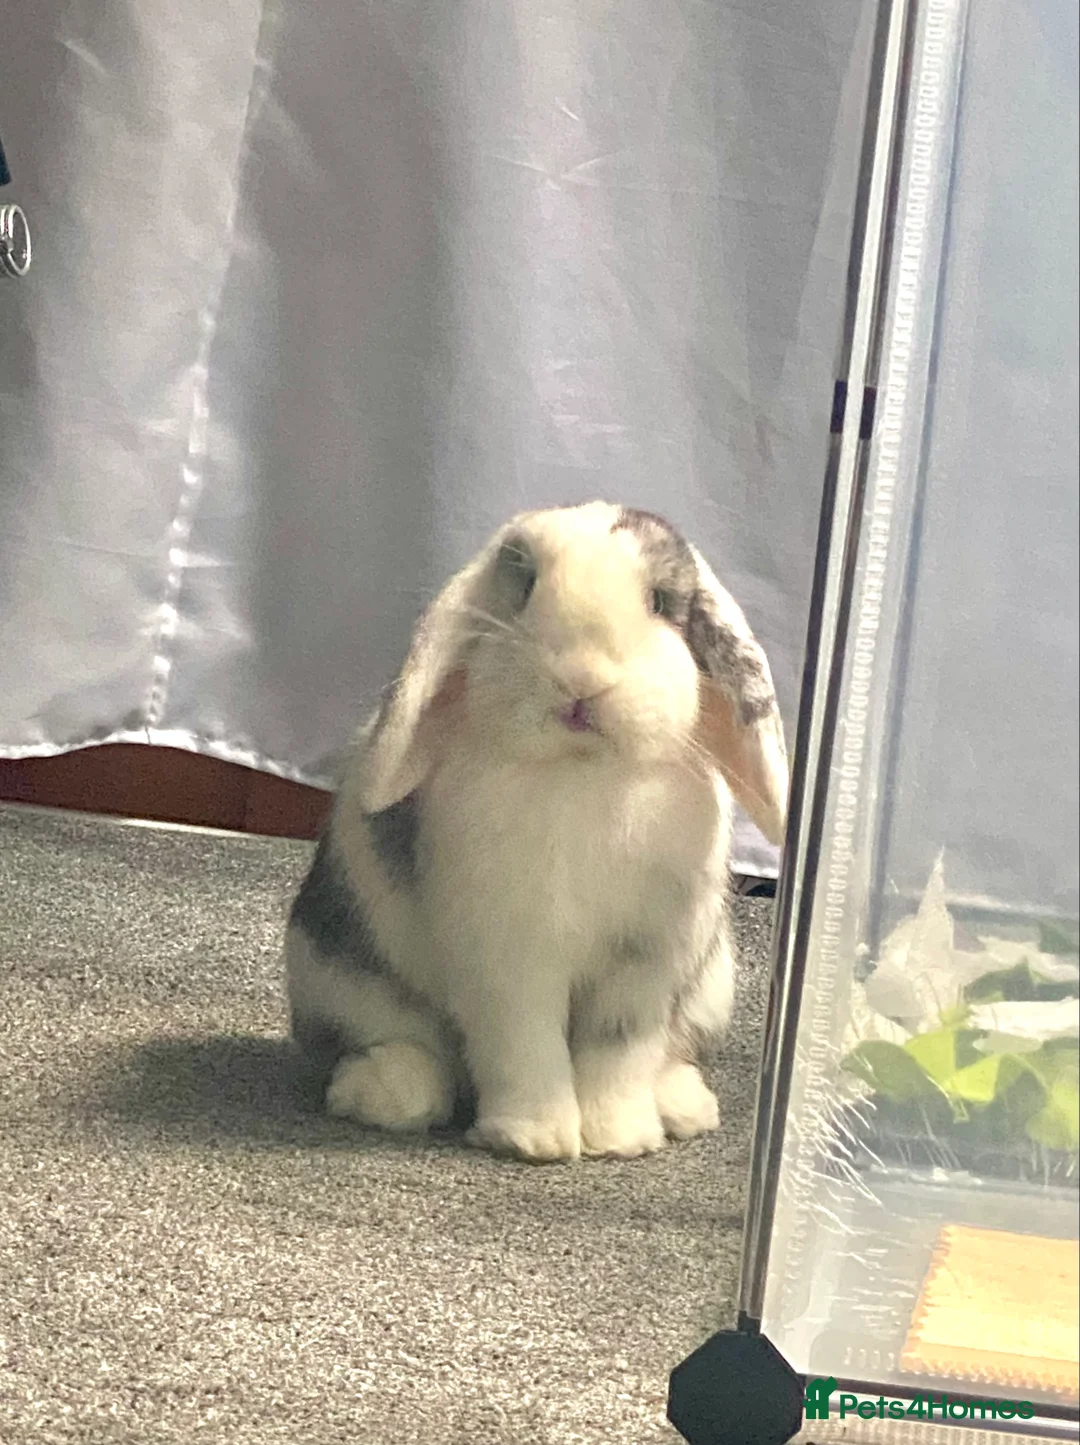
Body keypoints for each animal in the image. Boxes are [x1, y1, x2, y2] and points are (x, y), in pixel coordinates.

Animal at [285, 501, 788, 1162]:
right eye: (525, 588)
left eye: (659, 600)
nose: (581, 679)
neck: (581, 773)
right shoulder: (508, 956)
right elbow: (524, 1044)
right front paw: (534, 1139)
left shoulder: (644, 962)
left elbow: (619, 1051)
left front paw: (619, 1139)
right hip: (341, 978)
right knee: (402, 1049)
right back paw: (385, 1094)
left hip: (709, 992)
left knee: (670, 1056)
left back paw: (685, 1108)